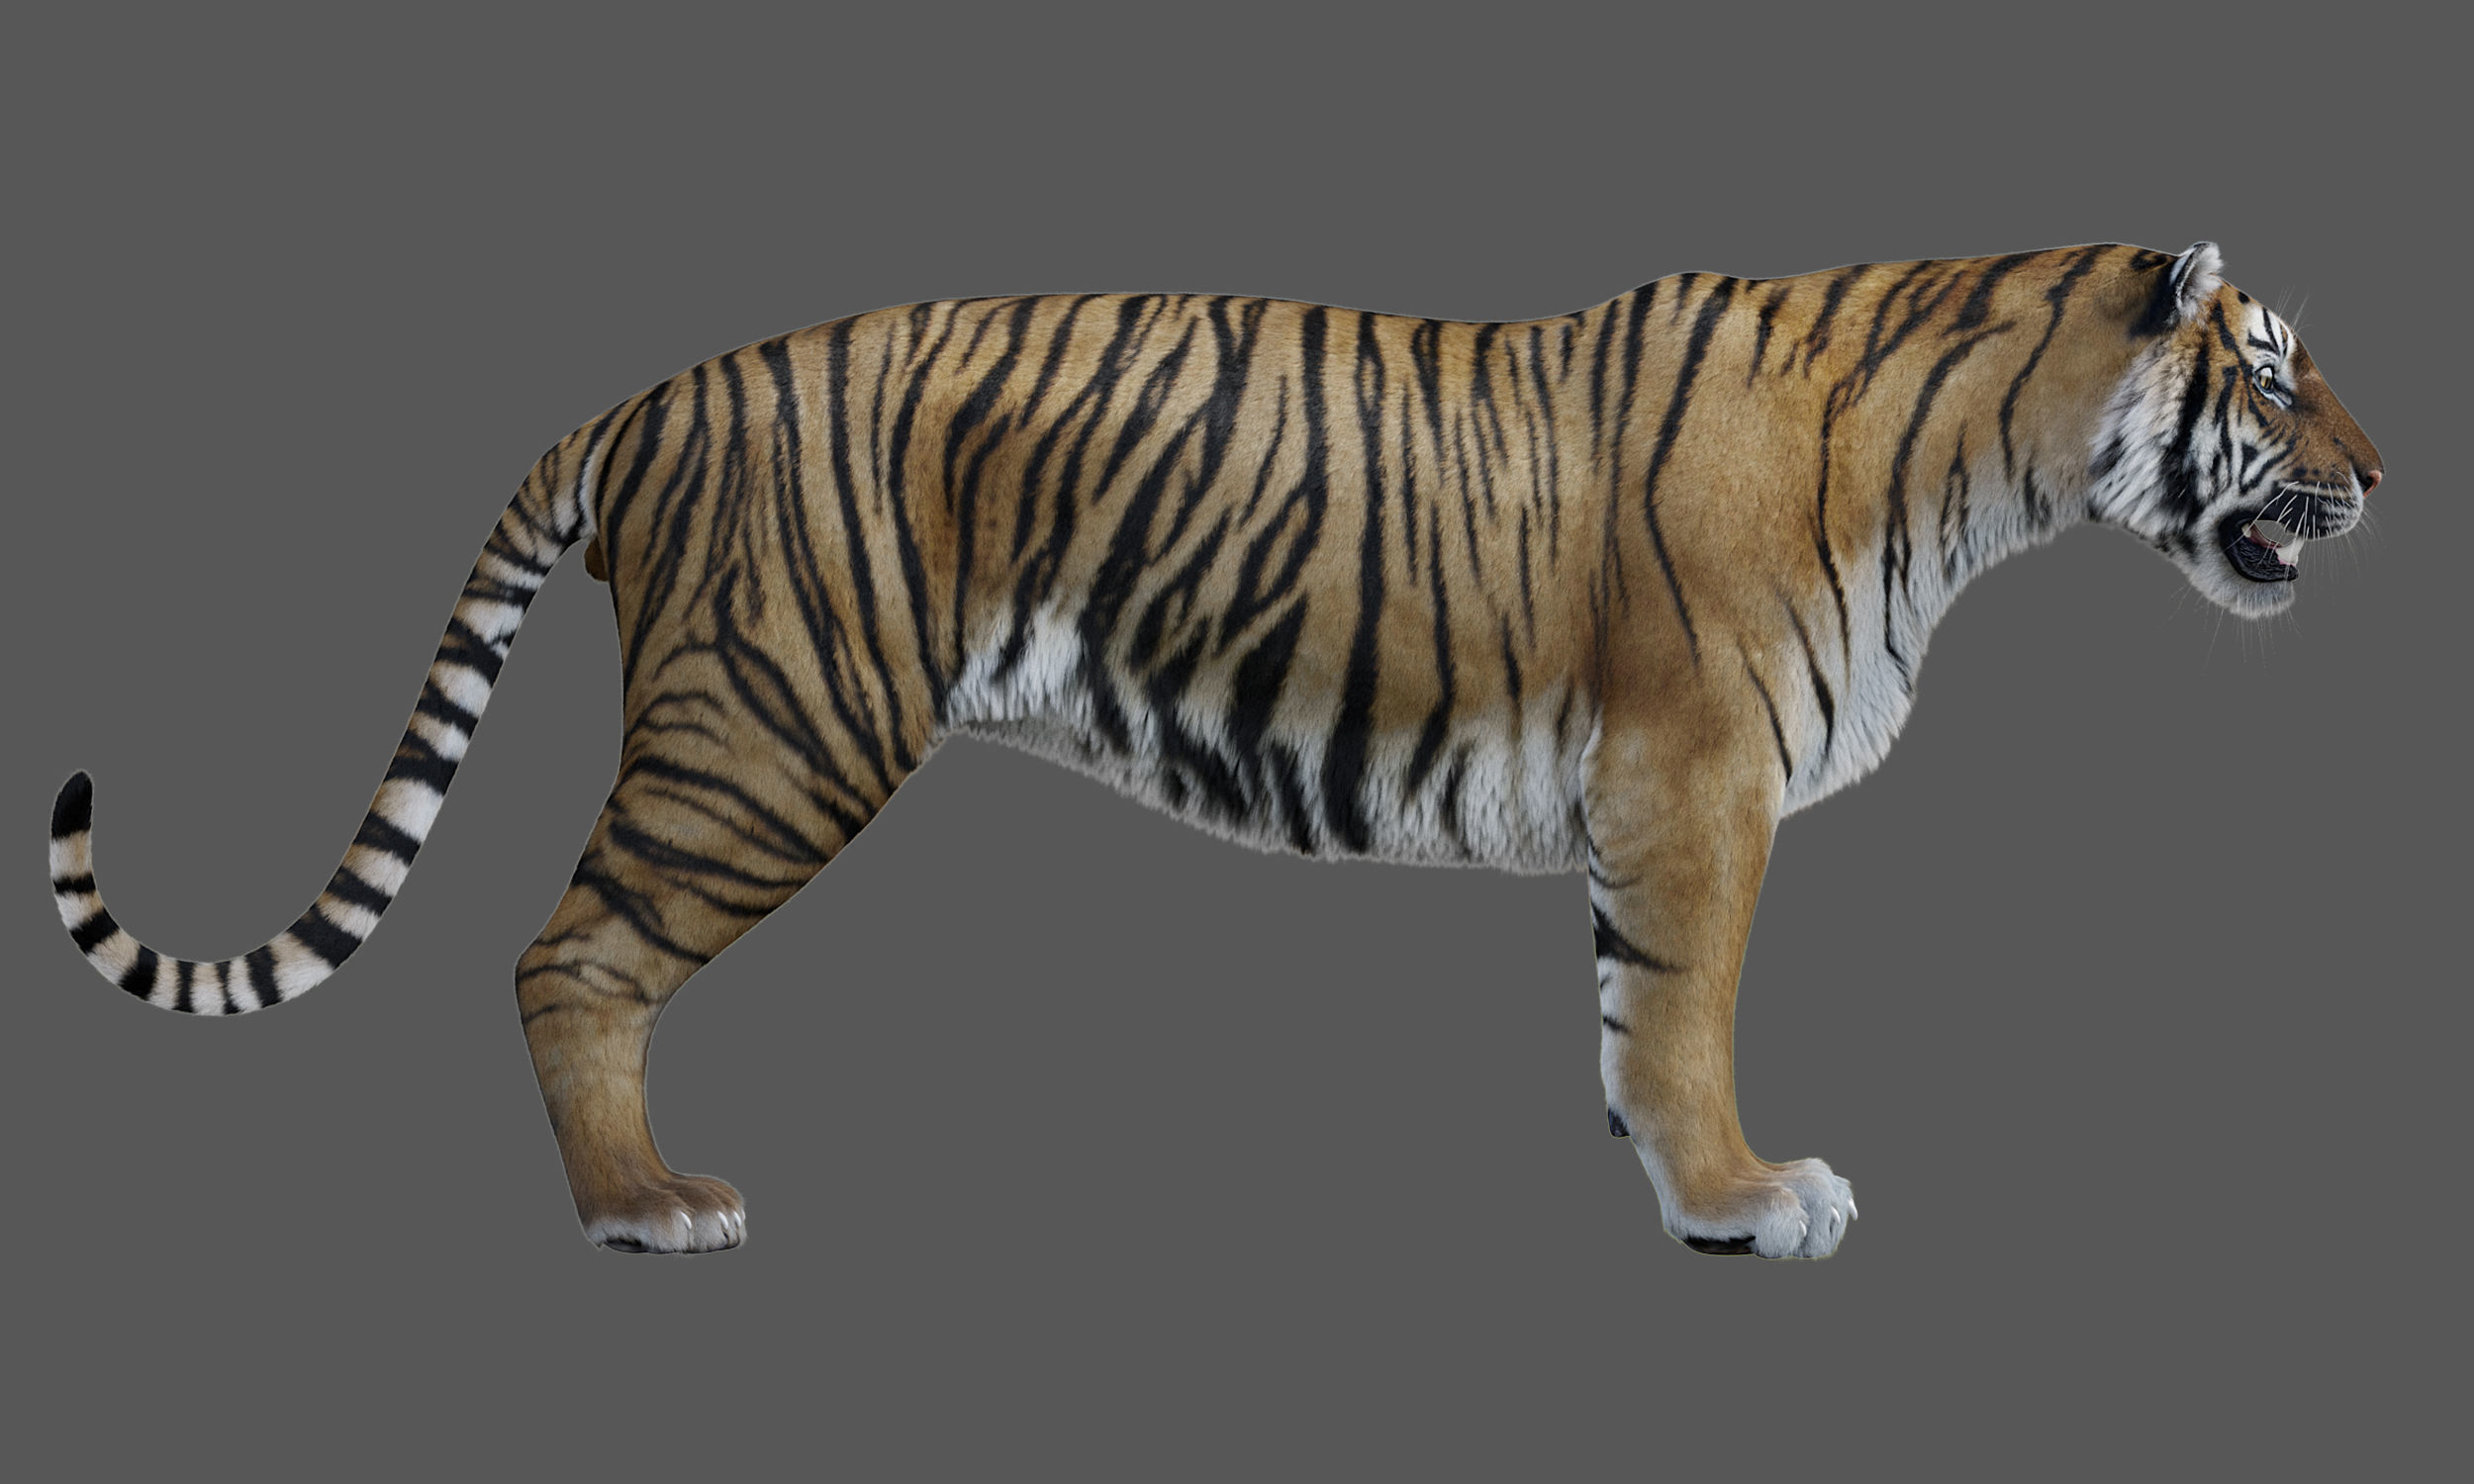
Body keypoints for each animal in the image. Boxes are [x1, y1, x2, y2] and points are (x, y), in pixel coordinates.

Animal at [48, 241, 2382, 1258]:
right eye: (2277, 376)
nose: (2381, 478)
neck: (1983, 477)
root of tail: (640, 398)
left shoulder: (1651, 802)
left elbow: (1627, 1016)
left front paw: (1678, 1181)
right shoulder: (1695, 780)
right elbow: (1688, 1013)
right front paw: (1743, 1195)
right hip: (770, 724)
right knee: (563, 955)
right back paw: (645, 1207)